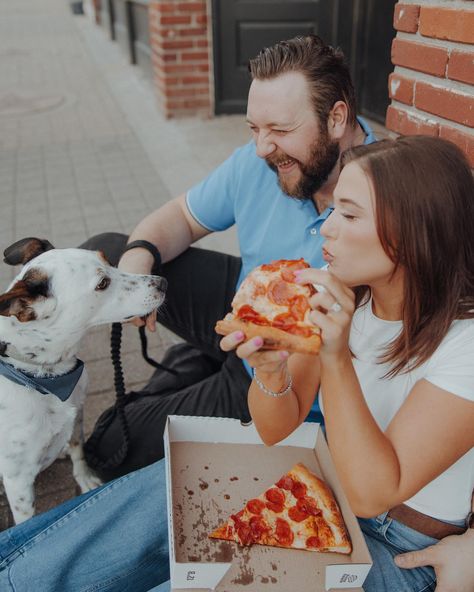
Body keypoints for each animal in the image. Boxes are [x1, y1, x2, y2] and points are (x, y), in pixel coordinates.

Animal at [0, 236, 167, 524]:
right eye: (102, 283)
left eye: (108, 261)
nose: (163, 282)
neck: (45, 379)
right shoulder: (17, 481)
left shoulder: (77, 415)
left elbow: (79, 452)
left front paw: (85, 477)